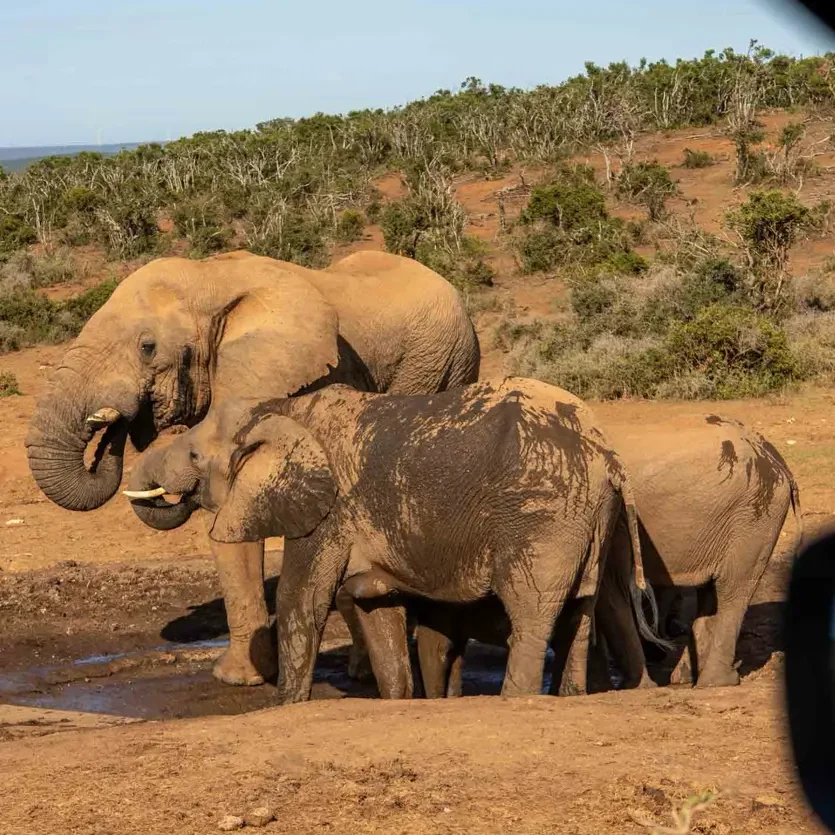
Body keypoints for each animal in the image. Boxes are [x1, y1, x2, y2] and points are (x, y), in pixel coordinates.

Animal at [25, 249, 480, 688]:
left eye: (147, 347)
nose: (113, 427)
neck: (208, 278)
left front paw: (241, 678)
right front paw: (241, 677)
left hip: (443, 366)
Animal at [124, 377, 655, 703]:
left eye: (194, 455)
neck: (283, 409)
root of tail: (607, 455)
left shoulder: (329, 509)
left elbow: (303, 600)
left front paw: (286, 705)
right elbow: (375, 608)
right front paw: (398, 700)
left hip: (541, 515)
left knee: (532, 612)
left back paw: (514, 699)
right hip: (586, 517)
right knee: (580, 612)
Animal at [413, 413, 802, 695]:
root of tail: (778, 459)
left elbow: (607, 598)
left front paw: (612, 687)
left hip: (755, 515)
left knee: (733, 590)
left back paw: (713, 683)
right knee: (713, 595)